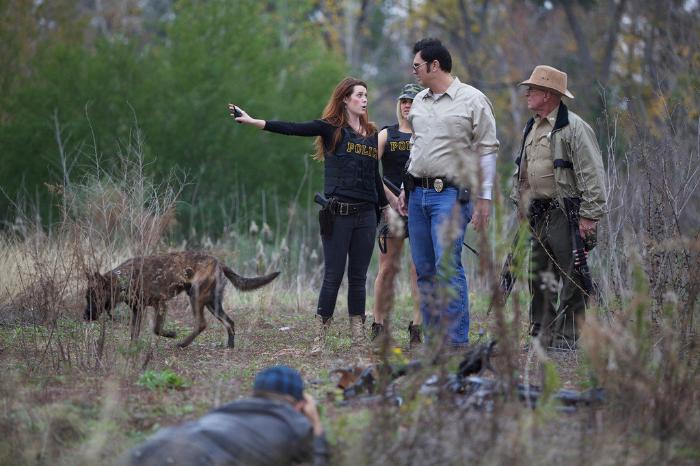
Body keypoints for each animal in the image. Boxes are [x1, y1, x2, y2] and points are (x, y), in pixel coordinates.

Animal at [83, 253, 278, 348]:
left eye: (92, 297)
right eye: (87, 297)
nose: (85, 317)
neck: (123, 280)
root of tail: (219, 263)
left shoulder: (160, 304)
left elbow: (156, 329)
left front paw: (171, 334)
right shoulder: (138, 310)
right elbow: (134, 333)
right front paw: (132, 349)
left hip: (196, 297)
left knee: (202, 324)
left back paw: (183, 344)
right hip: (212, 304)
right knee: (230, 322)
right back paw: (229, 346)